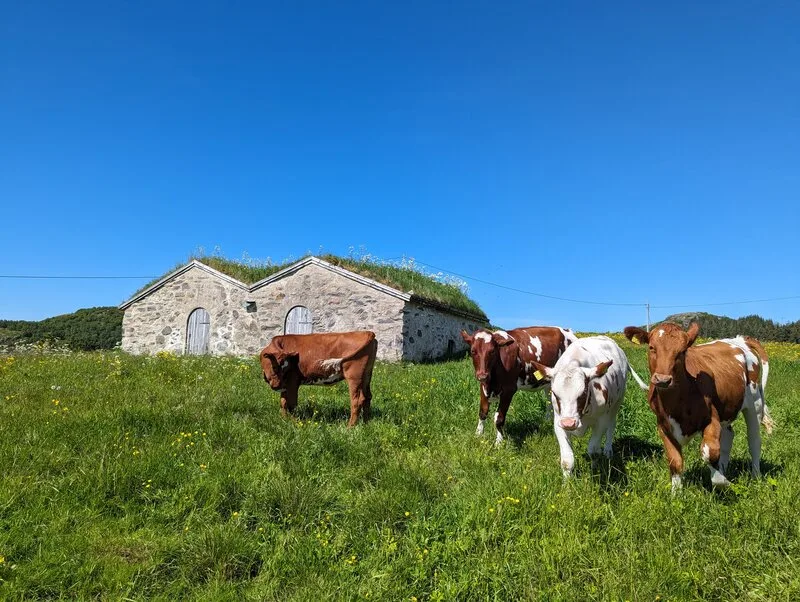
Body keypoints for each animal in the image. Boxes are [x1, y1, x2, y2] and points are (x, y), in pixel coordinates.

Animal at [530, 336, 649, 476]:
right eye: (554, 393)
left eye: (583, 393)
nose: (569, 423)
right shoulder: (558, 421)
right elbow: (567, 460)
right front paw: (567, 481)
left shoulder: (601, 421)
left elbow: (593, 451)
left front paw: (595, 470)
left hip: (618, 401)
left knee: (611, 425)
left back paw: (608, 450)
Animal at [624, 322, 773, 492]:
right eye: (651, 347)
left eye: (682, 351)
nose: (663, 379)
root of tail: (740, 339)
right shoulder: (663, 425)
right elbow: (675, 462)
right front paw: (676, 494)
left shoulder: (711, 419)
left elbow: (710, 452)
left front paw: (724, 482)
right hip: (727, 409)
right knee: (729, 436)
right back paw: (724, 467)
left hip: (754, 403)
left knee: (754, 441)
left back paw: (755, 476)